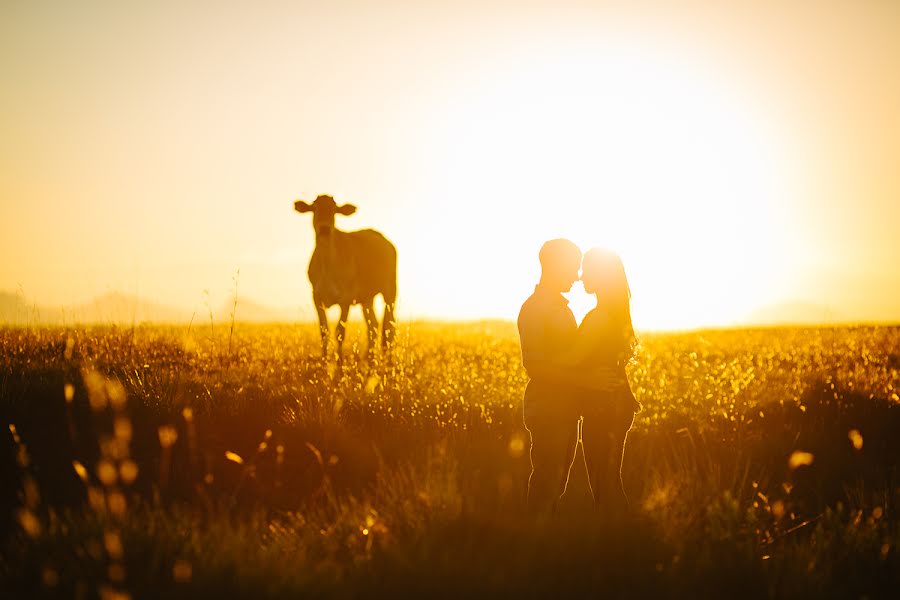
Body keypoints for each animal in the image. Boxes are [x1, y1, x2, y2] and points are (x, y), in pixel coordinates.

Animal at [294, 195, 396, 364]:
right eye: (314, 208)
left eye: (334, 210)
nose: (325, 229)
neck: (327, 265)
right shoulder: (316, 297)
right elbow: (324, 330)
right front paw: (324, 360)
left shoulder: (345, 299)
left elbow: (340, 331)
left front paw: (340, 362)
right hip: (366, 298)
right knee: (373, 325)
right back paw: (370, 357)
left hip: (390, 291)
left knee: (389, 327)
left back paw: (388, 359)